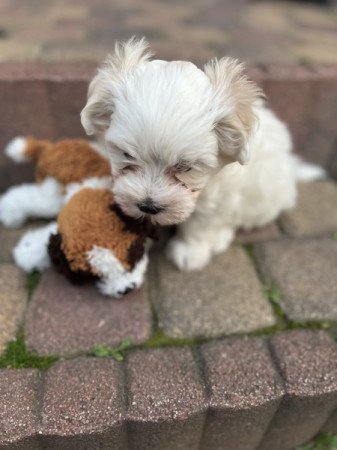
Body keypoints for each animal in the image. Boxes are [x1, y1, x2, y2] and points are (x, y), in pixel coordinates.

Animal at [80, 37, 322, 270]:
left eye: (185, 166)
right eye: (127, 155)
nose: (148, 206)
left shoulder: (219, 194)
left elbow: (202, 223)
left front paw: (190, 252)